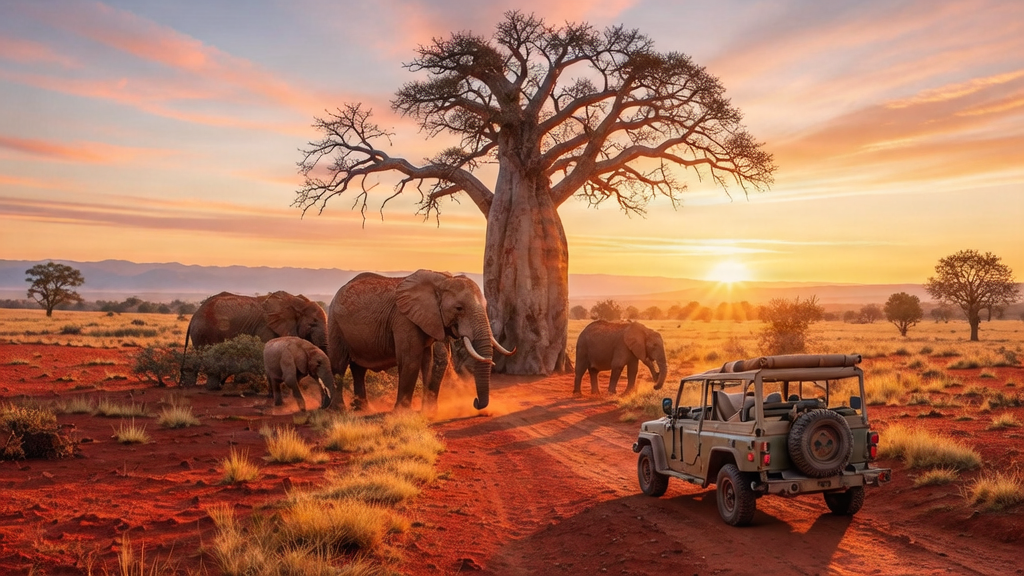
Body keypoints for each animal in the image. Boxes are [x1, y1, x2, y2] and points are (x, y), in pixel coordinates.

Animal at [180, 290, 328, 390]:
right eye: (312, 324)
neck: (295, 301)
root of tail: (194, 315)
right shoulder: (265, 328)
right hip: (205, 331)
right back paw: (214, 387)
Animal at [327, 269, 513, 411]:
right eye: (459, 308)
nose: (475, 402)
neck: (442, 280)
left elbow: (430, 362)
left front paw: (429, 412)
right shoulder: (404, 319)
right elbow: (410, 361)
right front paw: (402, 414)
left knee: (358, 369)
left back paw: (363, 409)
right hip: (335, 323)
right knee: (339, 365)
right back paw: (339, 410)